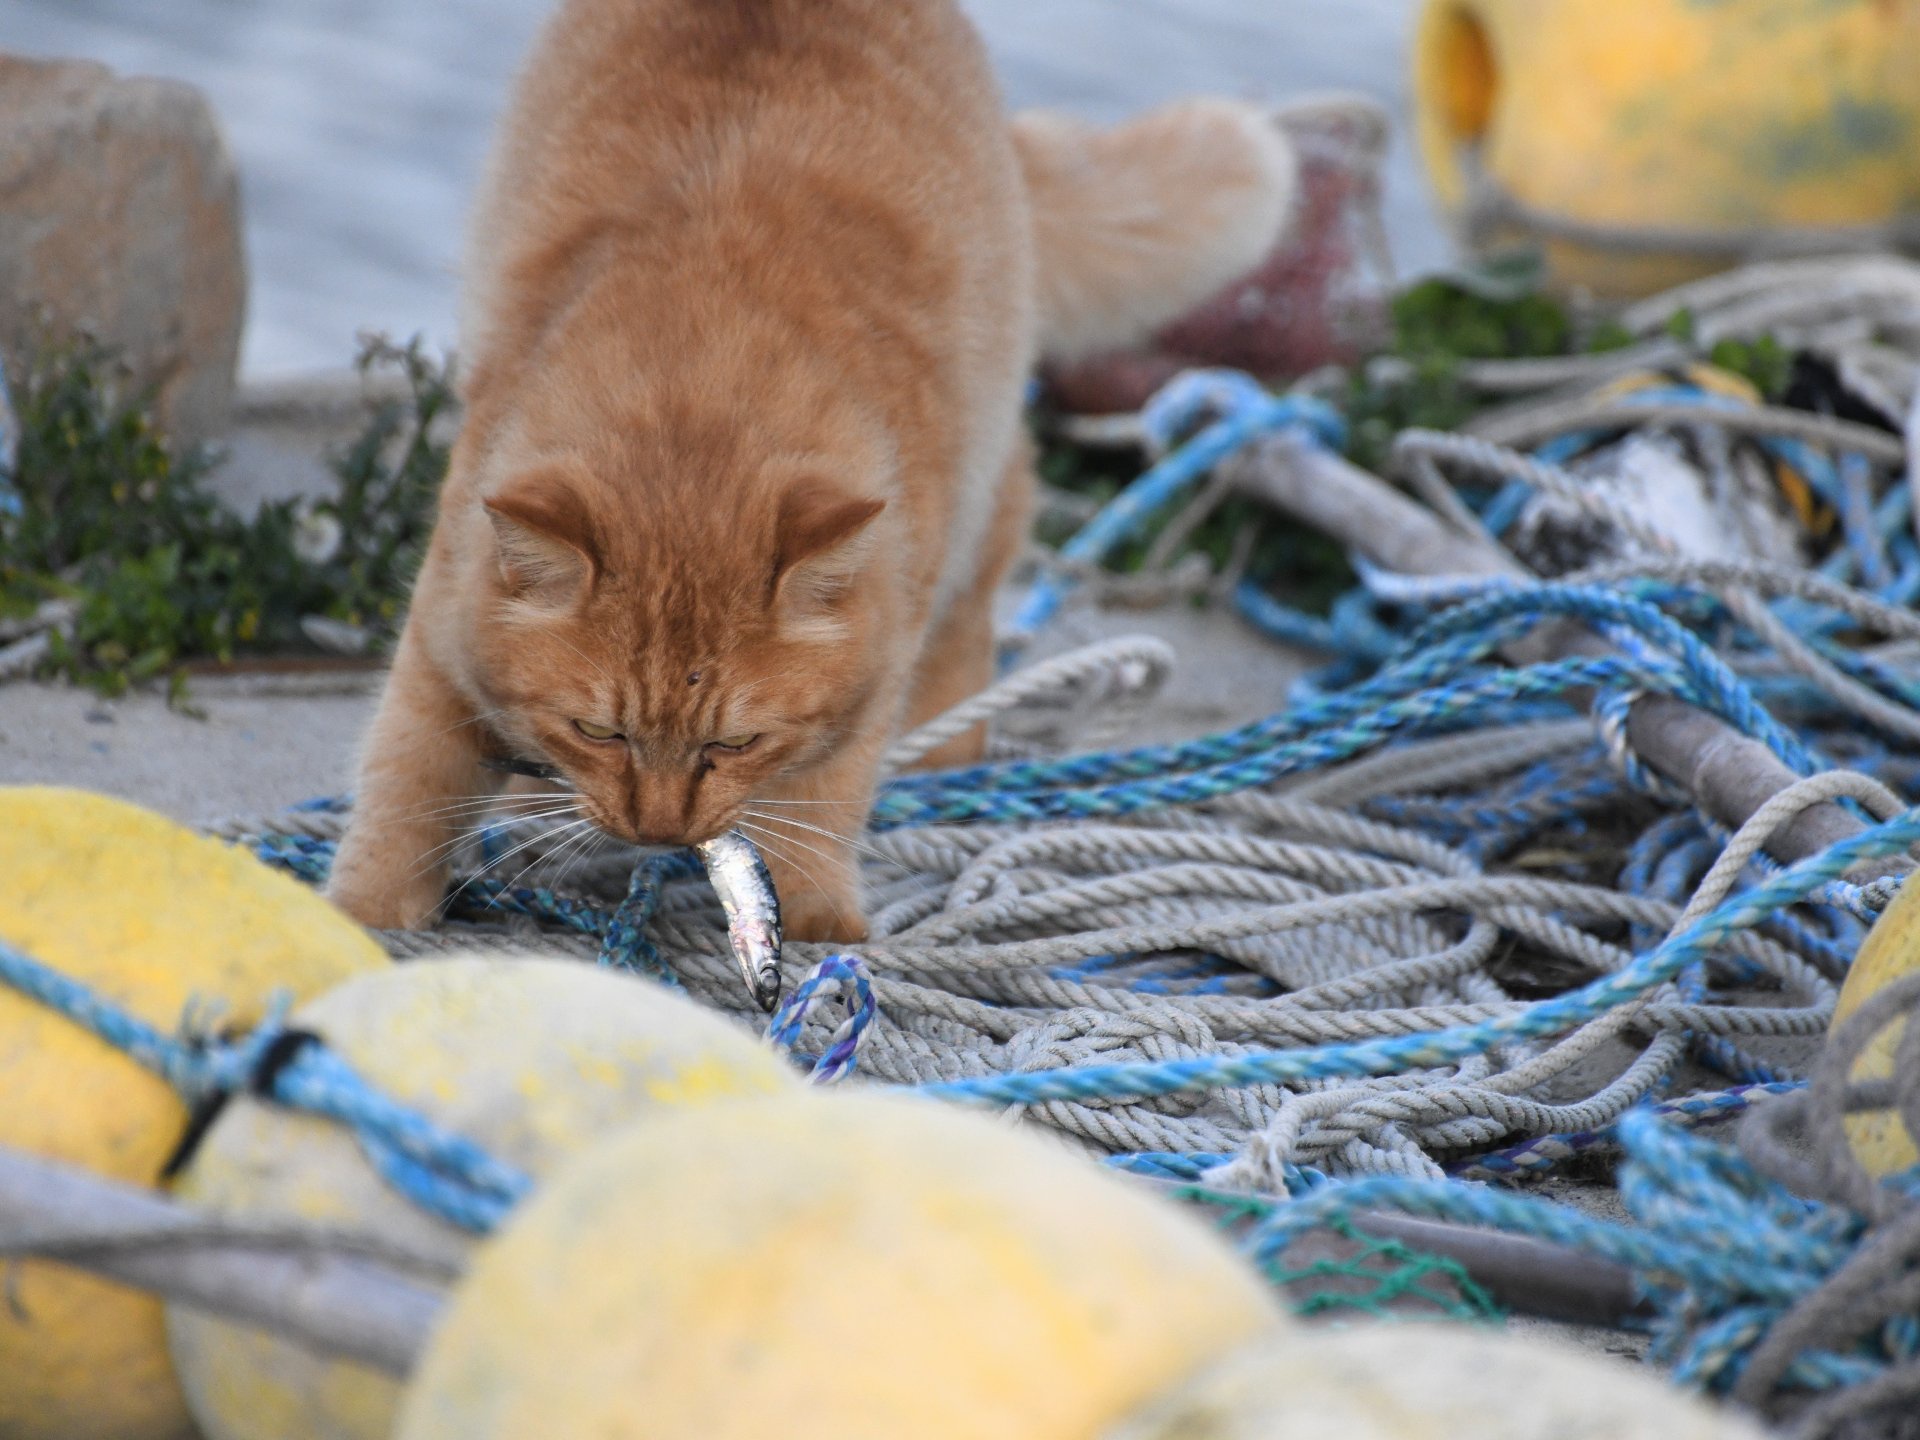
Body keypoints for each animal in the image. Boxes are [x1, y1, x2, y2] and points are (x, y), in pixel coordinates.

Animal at [326, 0, 1296, 944]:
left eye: (734, 745)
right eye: (598, 731)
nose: (660, 831)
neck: (697, 369)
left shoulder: (878, 654)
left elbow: (824, 799)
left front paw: (821, 923)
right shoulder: (441, 638)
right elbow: (404, 786)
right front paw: (361, 916)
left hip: (980, 487)